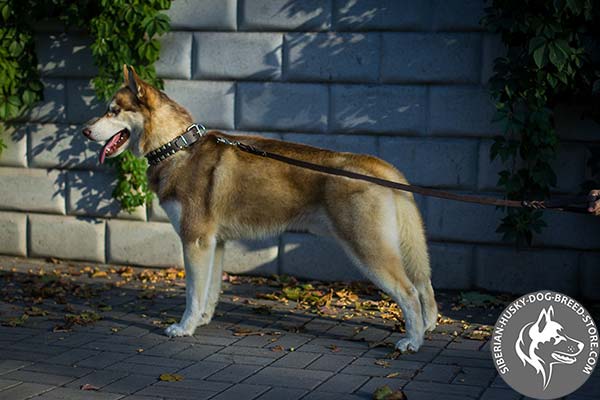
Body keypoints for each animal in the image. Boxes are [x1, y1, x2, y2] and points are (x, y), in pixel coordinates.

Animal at [82, 65, 438, 354]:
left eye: (113, 111)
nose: (84, 130)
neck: (177, 147)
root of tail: (378, 165)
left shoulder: (194, 241)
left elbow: (193, 293)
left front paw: (184, 327)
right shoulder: (214, 244)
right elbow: (209, 291)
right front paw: (202, 321)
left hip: (368, 250)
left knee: (409, 292)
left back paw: (413, 340)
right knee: (424, 286)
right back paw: (427, 327)